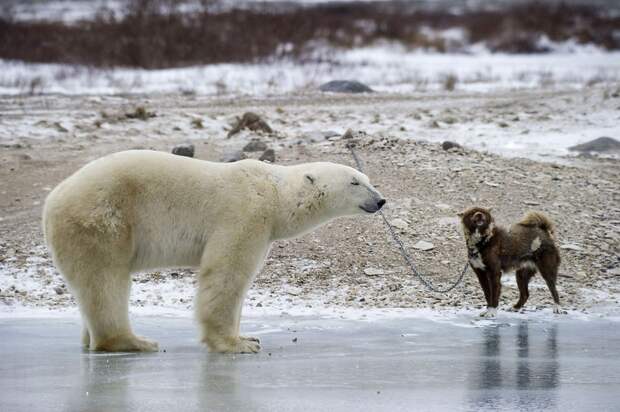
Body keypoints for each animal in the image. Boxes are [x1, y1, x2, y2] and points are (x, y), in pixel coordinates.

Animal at [42, 150, 382, 352]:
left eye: (368, 179)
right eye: (354, 182)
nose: (380, 200)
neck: (275, 195)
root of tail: (51, 201)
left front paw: (248, 335)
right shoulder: (244, 214)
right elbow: (226, 273)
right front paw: (236, 343)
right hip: (102, 221)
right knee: (106, 281)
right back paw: (132, 342)